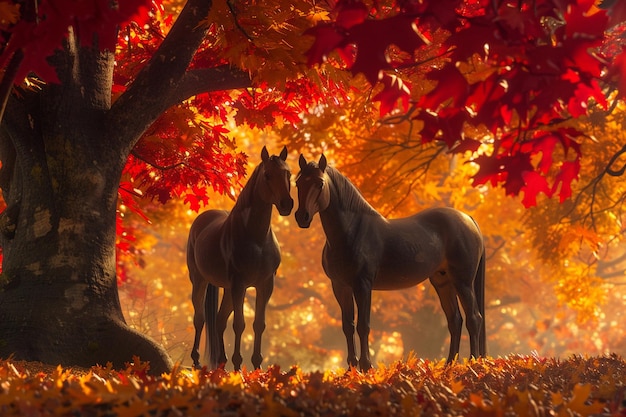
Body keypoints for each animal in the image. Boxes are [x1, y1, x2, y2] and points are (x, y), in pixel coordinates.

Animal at [185, 145, 292, 368]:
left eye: (288, 174)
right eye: (267, 175)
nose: (287, 204)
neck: (256, 239)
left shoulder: (265, 285)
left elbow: (258, 324)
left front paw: (257, 366)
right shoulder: (239, 284)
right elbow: (239, 324)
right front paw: (238, 366)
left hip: (226, 288)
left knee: (219, 320)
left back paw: (221, 363)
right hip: (199, 280)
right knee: (200, 318)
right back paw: (197, 361)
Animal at [294, 154, 486, 368]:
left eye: (320, 183)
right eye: (298, 183)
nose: (302, 217)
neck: (351, 232)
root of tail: (469, 220)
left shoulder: (363, 285)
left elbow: (363, 325)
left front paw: (366, 366)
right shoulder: (340, 286)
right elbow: (347, 326)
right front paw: (352, 368)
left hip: (463, 282)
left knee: (474, 318)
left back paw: (473, 363)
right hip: (443, 282)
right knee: (455, 320)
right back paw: (449, 365)